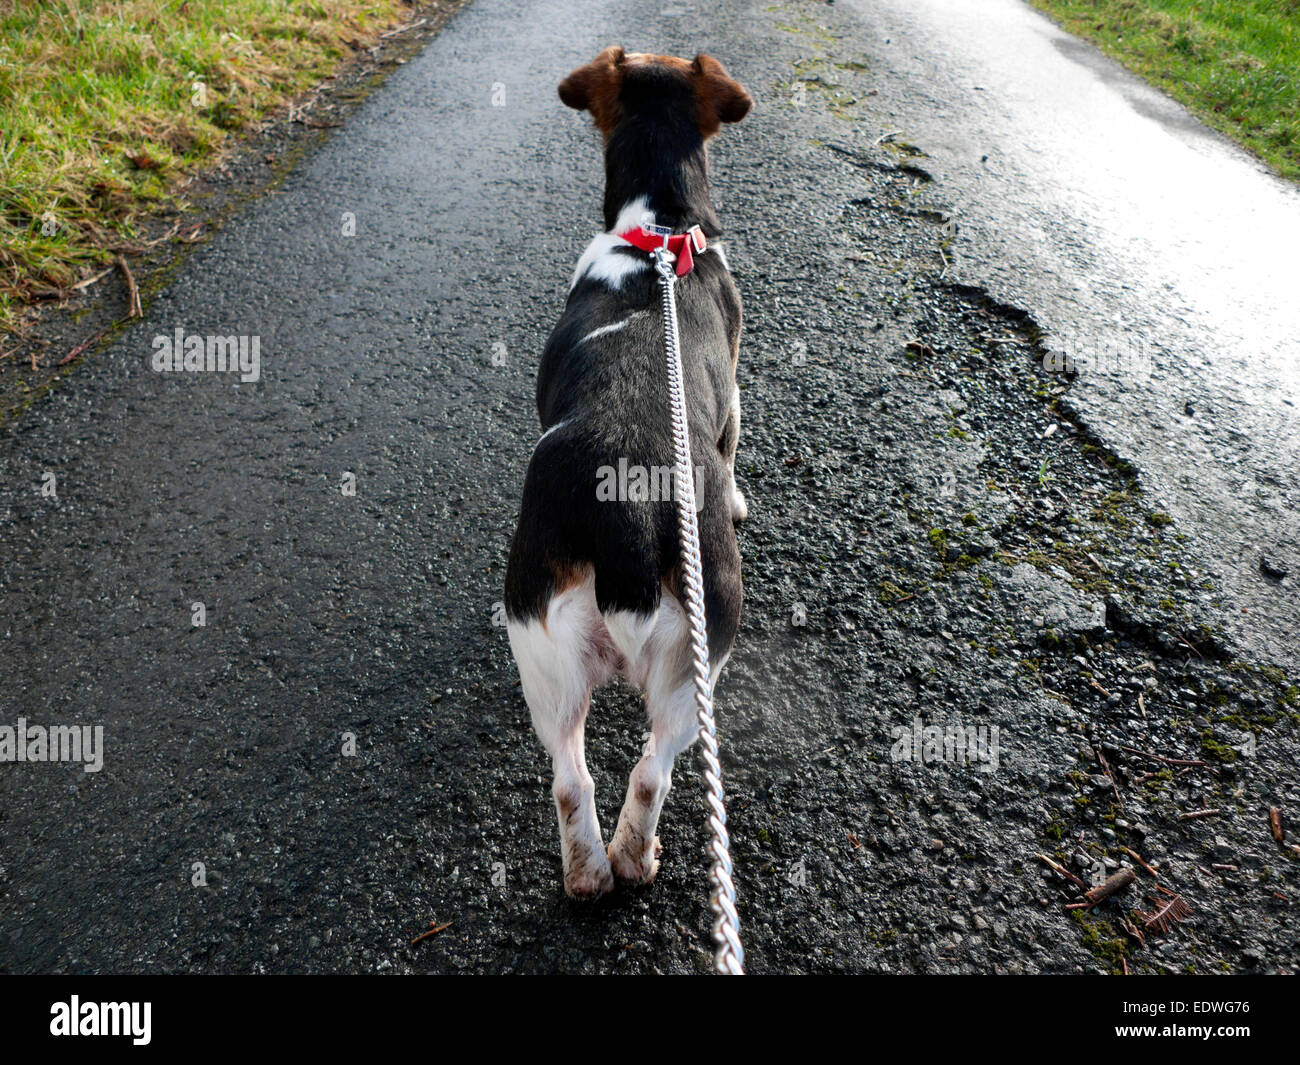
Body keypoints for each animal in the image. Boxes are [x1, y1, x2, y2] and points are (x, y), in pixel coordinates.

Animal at [504, 47, 754, 899]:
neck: (661, 230)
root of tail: (630, 509)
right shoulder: (736, 392)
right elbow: (736, 449)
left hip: (558, 655)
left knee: (584, 777)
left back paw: (597, 869)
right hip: (699, 652)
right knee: (633, 773)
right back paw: (624, 863)